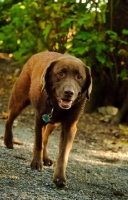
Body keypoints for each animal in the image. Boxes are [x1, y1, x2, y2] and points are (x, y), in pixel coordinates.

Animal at [4, 51, 92, 188]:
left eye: (79, 77)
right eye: (60, 73)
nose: (69, 92)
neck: (56, 106)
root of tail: (38, 54)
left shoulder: (70, 127)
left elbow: (63, 154)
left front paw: (60, 178)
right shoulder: (39, 118)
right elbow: (38, 142)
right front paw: (36, 163)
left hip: (52, 123)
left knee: (45, 137)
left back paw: (45, 158)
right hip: (19, 100)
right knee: (9, 118)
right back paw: (8, 141)